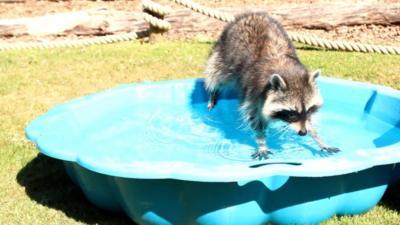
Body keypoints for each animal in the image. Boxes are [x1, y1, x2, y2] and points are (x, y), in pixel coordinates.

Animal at [205, 12, 340, 160]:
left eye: (309, 110)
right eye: (291, 113)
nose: (303, 132)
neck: (286, 70)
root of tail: (252, 14)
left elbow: (308, 121)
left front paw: (317, 137)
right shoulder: (254, 94)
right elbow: (255, 119)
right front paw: (261, 142)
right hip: (224, 54)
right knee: (216, 74)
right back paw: (213, 92)